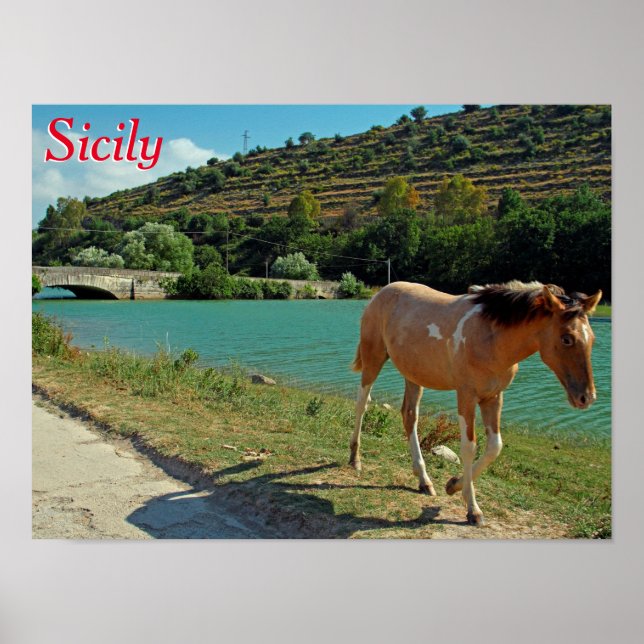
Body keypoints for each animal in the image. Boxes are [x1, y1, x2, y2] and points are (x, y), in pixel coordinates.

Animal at [349, 280, 602, 526]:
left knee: (410, 416)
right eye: (566, 339)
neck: (491, 337)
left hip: (414, 374)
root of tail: (380, 293)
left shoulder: (493, 397)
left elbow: (494, 447)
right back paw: (355, 459)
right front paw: (473, 510)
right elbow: (469, 447)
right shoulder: (466, 396)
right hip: (373, 359)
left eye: (592, 339)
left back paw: (424, 480)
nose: (586, 397)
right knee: (362, 403)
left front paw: (453, 485)